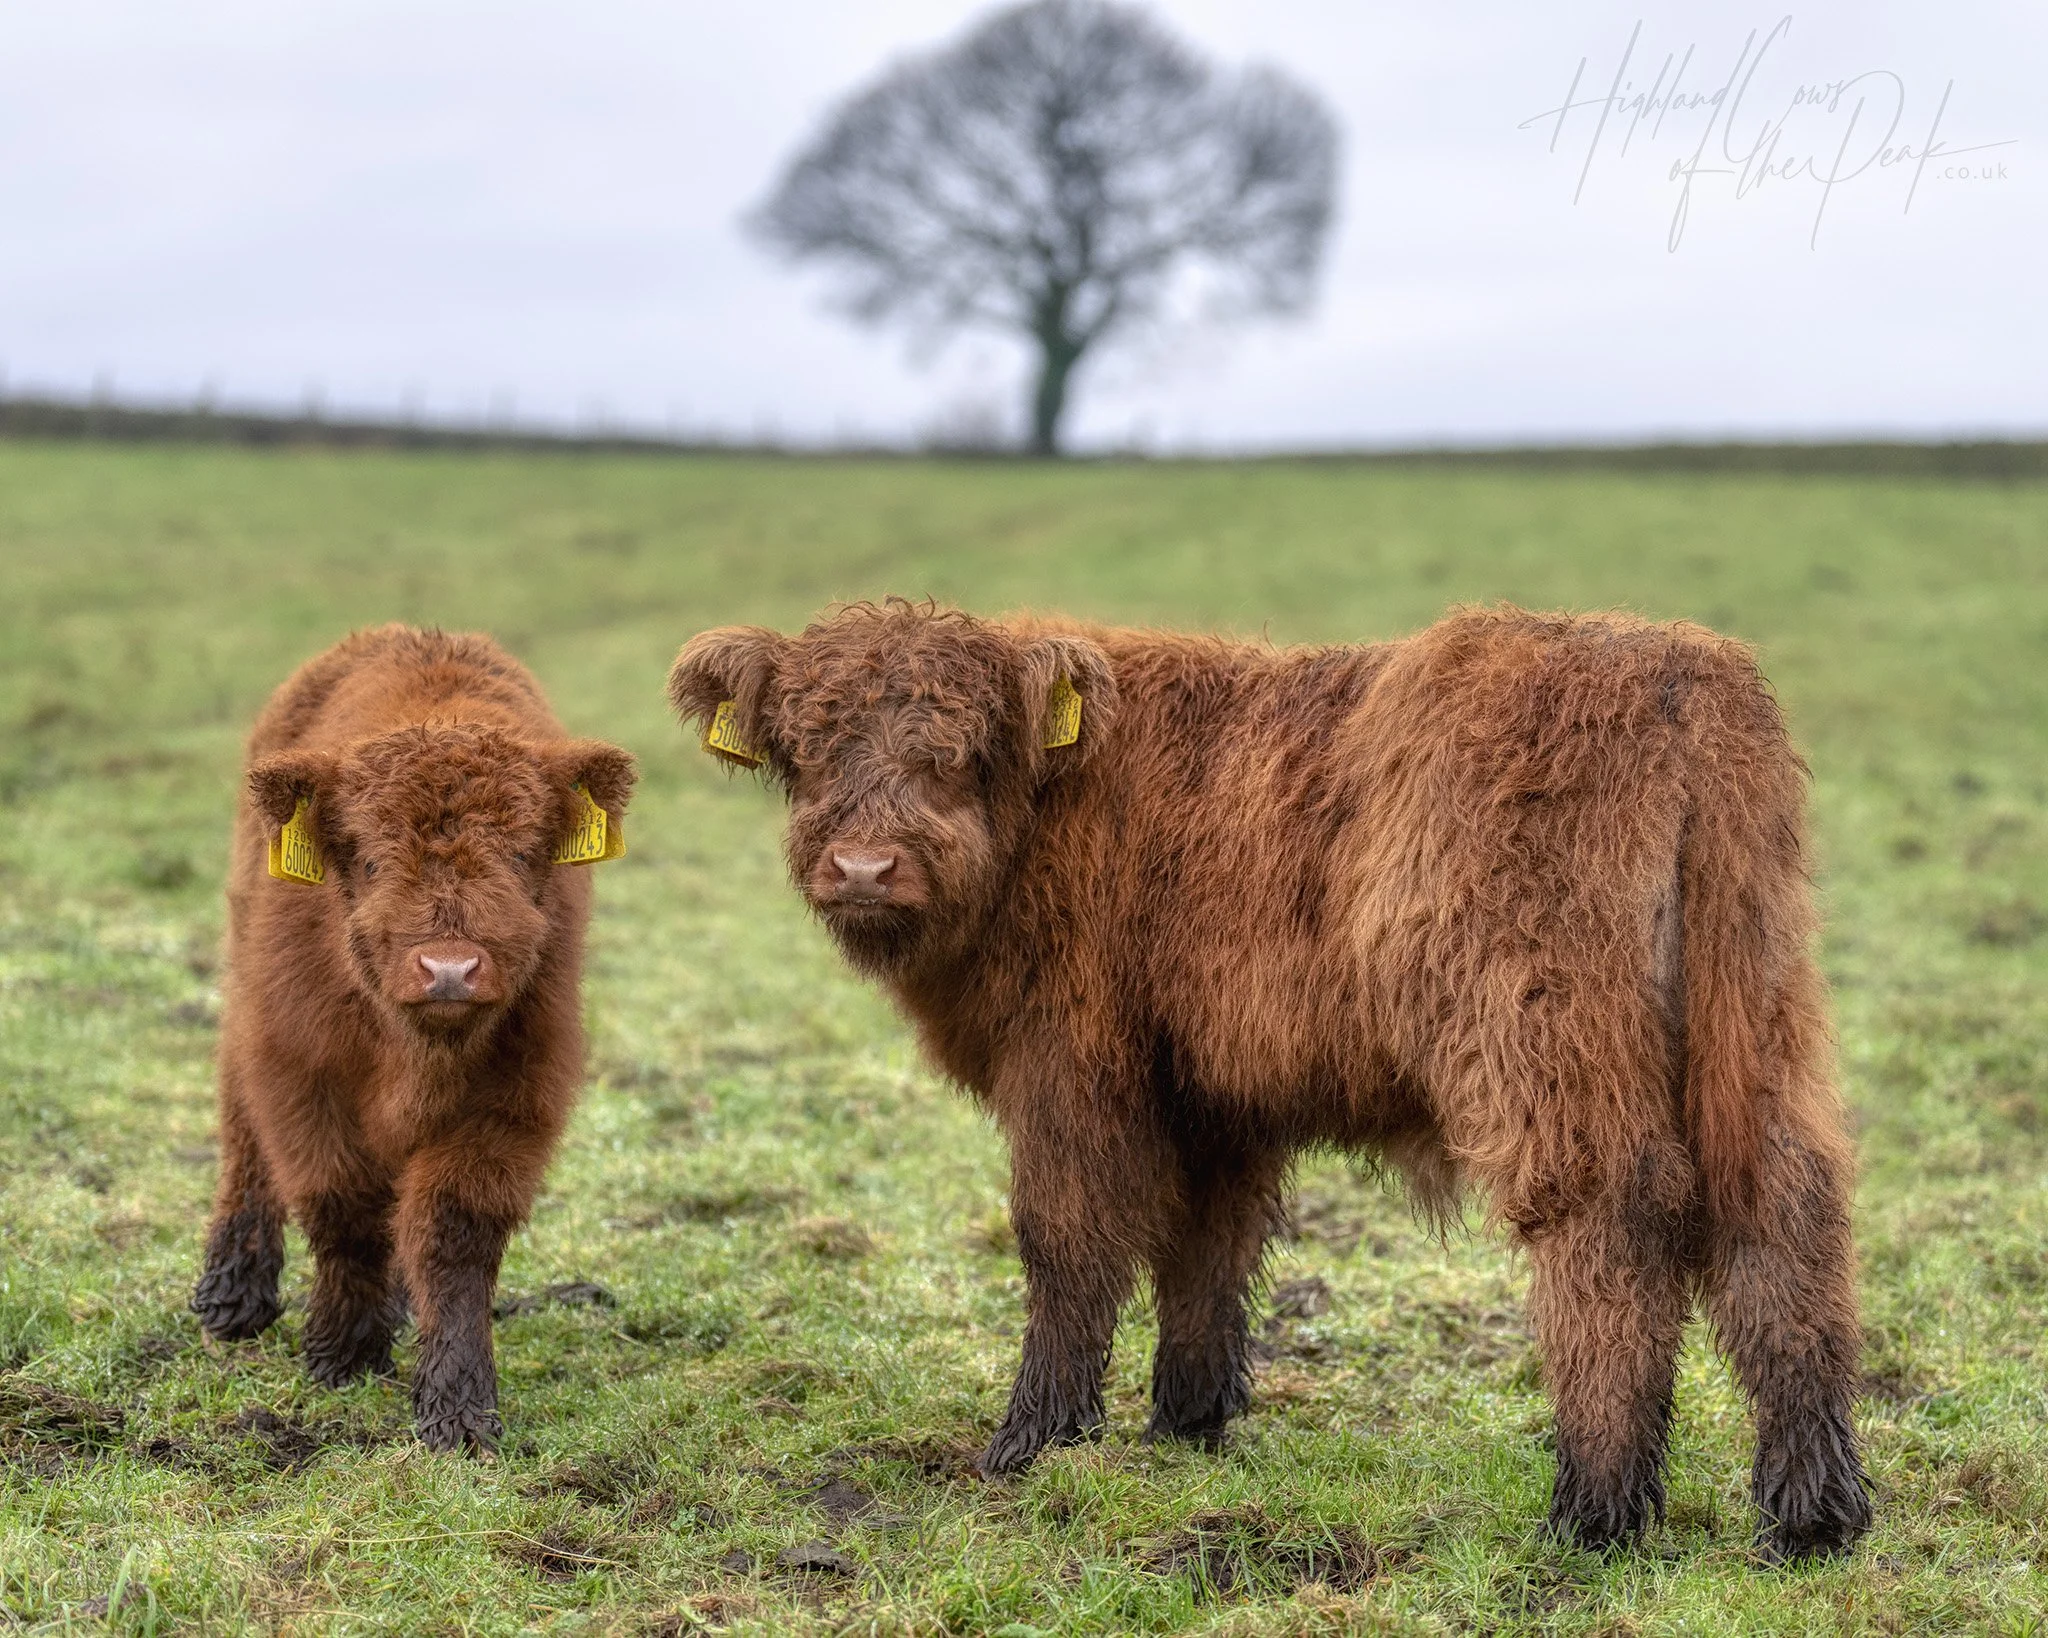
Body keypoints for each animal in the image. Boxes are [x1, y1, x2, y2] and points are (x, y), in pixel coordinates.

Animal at [192, 625, 635, 1454]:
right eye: (368, 856)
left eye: (521, 853)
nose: (449, 969)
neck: (418, 1052)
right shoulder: (299, 1066)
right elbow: (343, 1207)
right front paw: (343, 1349)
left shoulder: (518, 1092)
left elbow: (452, 1233)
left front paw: (458, 1406)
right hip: (245, 993)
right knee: (241, 1128)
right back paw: (232, 1294)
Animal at [667, 598, 1871, 1561]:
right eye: (805, 749)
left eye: (960, 754)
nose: (863, 867)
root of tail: (1672, 667)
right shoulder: (1213, 1087)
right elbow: (1208, 1244)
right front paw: (1187, 1427)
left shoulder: (1070, 1061)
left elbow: (1064, 1238)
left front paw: (1032, 1442)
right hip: (1755, 1016)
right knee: (1783, 1210)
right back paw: (1811, 1514)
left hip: (1545, 1034)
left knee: (1613, 1217)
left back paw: (1595, 1514)